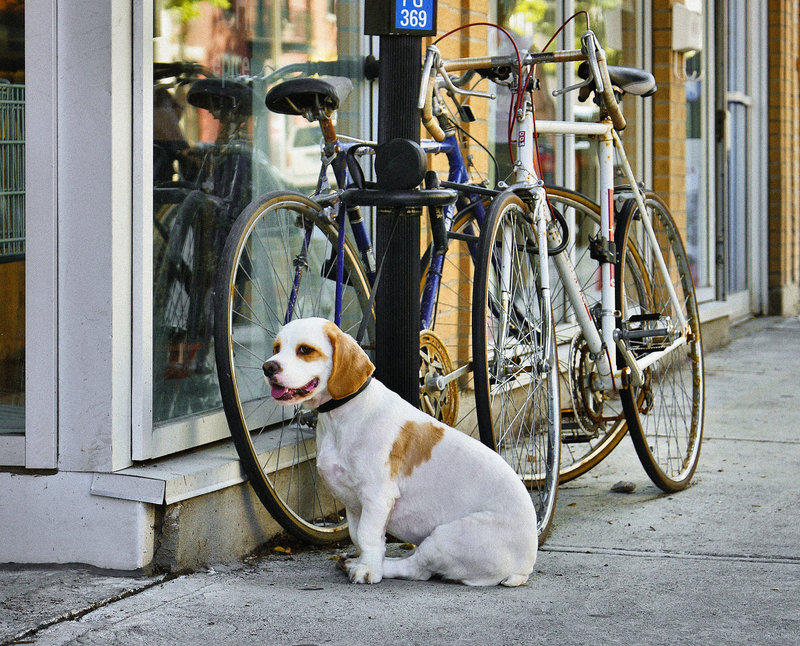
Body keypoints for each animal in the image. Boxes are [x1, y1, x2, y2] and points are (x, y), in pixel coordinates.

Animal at [264, 318, 536, 588]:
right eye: (276, 348)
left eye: (305, 350)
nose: (268, 367)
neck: (343, 413)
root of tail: (525, 565)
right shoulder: (353, 504)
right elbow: (358, 536)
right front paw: (364, 562)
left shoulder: (376, 496)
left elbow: (367, 536)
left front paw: (368, 570)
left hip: (447, 537)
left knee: (417, 570)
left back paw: (382, 567)